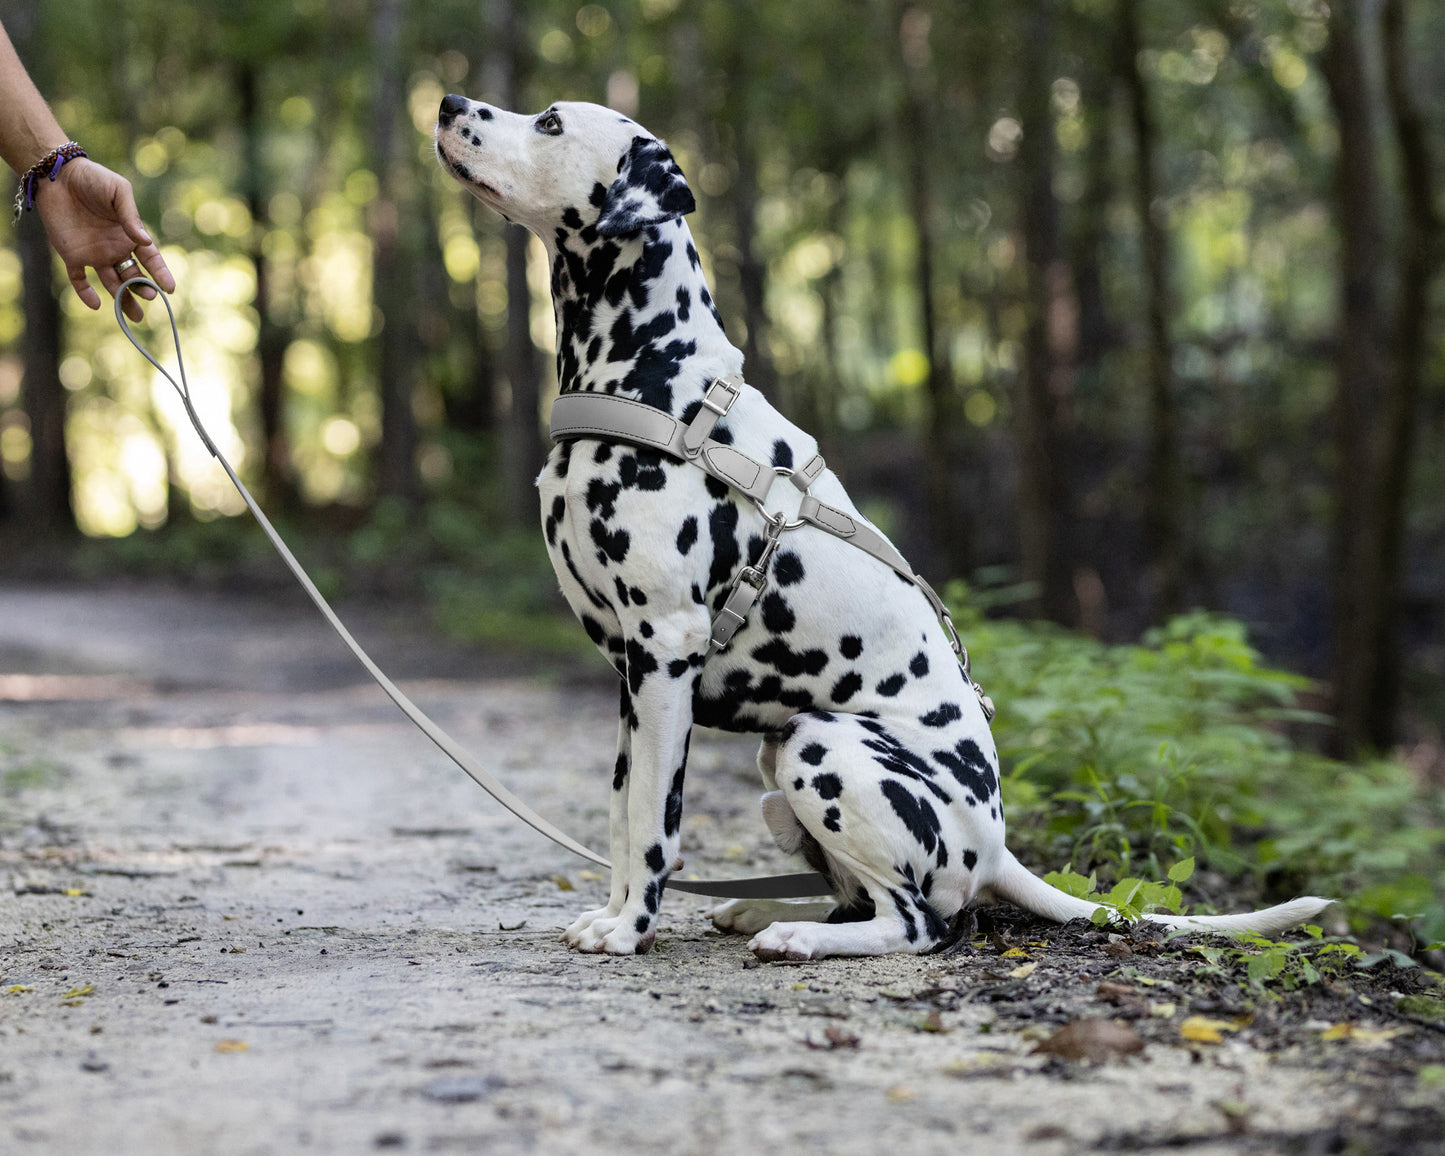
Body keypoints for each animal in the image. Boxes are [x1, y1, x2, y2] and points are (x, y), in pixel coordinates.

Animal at [430, 96, 1329, 959]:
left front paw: (630, 932)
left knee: (916, 923)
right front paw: (614, 915)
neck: (656, 377)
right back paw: (766, 913)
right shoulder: (632, 675)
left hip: (821, 747)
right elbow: (623, 814)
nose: (445, 103)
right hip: (778, 759)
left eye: (550, 123)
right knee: (860, 897)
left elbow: (656, 820)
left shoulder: (664, 651)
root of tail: (995, 847)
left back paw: (795, 936)